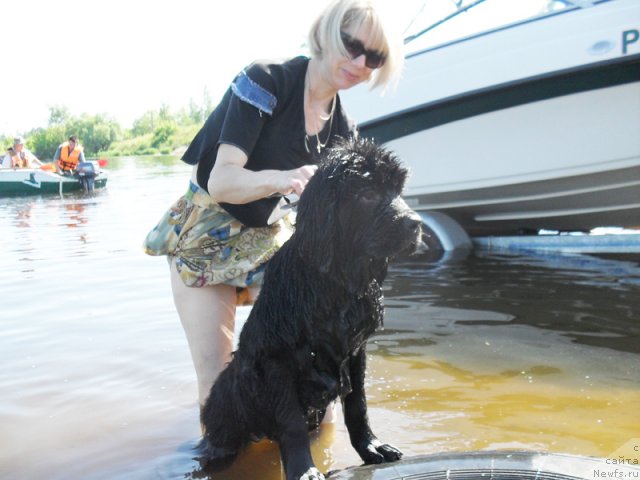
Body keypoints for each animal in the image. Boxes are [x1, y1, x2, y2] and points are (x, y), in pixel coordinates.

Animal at [198, 137, 422, 480]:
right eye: (367, 194)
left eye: (399, 191)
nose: (417, 225)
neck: (336, 283)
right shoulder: (277, 359)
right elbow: (292, 425)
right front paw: (304, 469)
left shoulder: (355, 350)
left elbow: (358, 404)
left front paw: (371, 447)